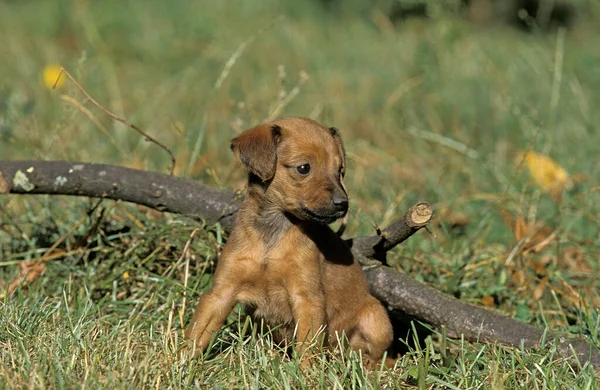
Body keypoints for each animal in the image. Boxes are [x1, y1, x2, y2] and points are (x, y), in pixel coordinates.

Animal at [186, 117, 394, 364]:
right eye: (304, 168)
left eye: (339, 171)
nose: (343, 204)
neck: (274, 232)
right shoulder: (220, 294)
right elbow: (197, 334)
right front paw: (178, 361)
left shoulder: (307, 300)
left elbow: (307, 350)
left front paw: (307, 372)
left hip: (377, 319)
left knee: (377, 356)